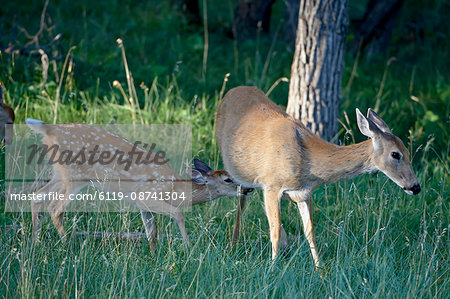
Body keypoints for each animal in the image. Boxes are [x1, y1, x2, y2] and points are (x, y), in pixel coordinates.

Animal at [26, 119, 244, 248]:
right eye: (228, 179)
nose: (246, 189)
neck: (175, 188)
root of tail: (49, 128)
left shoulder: (142, 206)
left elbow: (152, 232)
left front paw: (153, 255)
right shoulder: (148, 195)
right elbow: (178, 214)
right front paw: (188, 247)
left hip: (59, 173)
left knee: (37, 197)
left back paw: (35, 243)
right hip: (76, 176)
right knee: (55, 207)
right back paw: (67, 246)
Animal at [216, 85, 420, 268]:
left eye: (408, 152)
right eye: (395, 154)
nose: (415, 187)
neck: (306, 162)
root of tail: (232, 90)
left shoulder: (303, 193)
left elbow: (310, 232)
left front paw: (319, 270)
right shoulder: (272, 185)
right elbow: (274, 231)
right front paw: (272, 268)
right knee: (241, 202)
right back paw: (233, 245)